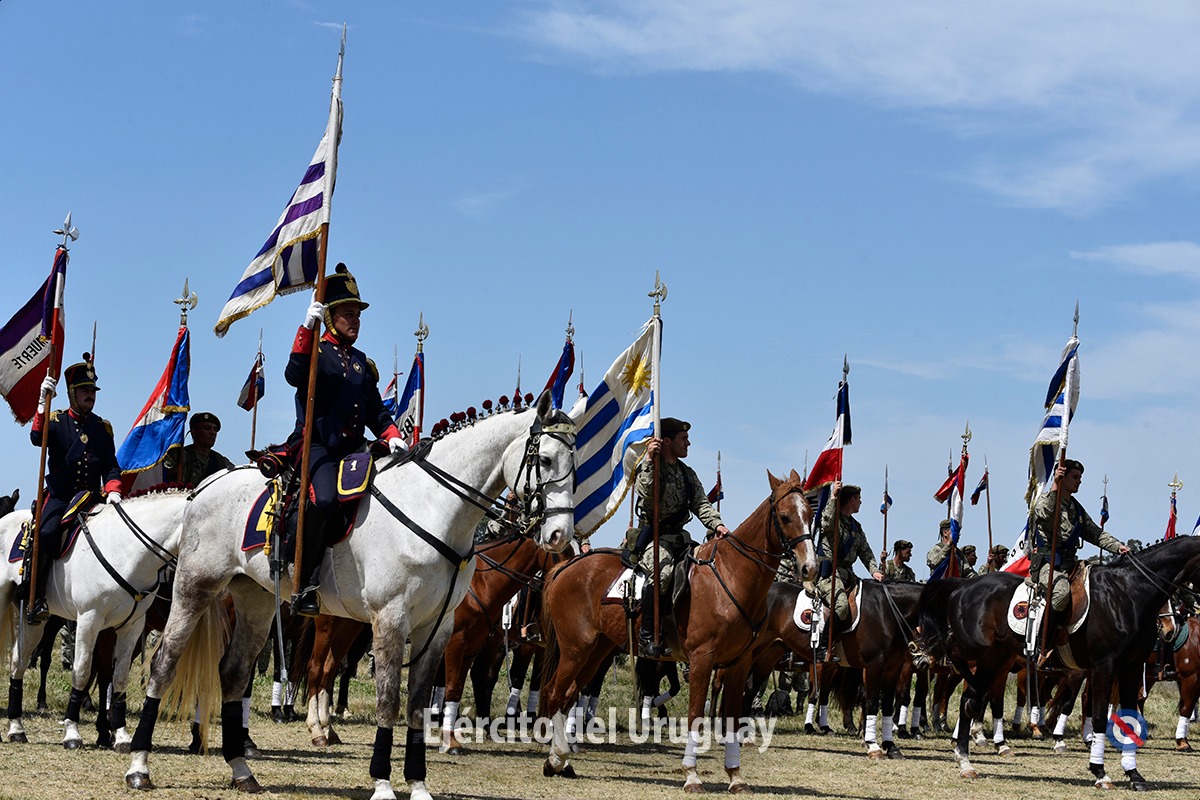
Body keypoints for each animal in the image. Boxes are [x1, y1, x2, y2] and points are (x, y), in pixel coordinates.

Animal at [0, 489, 186, 753]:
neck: (126, 550)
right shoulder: (90, 619)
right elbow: (81, 671)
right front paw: (72, 732)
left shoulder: (132, 626)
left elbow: (118, 677)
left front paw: (121, 735)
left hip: (34, 620)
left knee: (19, 661)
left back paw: (16, 728)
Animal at [124, 393, 573, 800]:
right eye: (546, 461)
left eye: (575, 460)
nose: (559, 535)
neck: (432, 508)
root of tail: (206, 486)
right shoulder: (392, 619)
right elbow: (389, 701)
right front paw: (382, 784)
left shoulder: (437, 627)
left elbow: (417, 706)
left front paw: (419, 785)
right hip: (195, 588)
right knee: (163, 665)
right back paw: (139, 766)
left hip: (256, 602)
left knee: (233, 674)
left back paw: (241, 770)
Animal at [542, 472, 816, 791]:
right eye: (785, 517)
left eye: (810, 515)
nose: (810, 567)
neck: (731, 576)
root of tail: (567, 566)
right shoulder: (701, 659)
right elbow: (696, 715)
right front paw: (692, 774)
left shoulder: (739, 663)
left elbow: (733, 719)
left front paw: (735, 775)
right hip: (575, 650)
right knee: (554, 693)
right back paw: (558, 756)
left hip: (595, 654)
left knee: (568, 695)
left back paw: (560, 761)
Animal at [921, 534, 1200, 791]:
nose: (1170, 630)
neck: (1127, 595)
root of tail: (962, 586)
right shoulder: (1103, 667)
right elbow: (1098, 715)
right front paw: (1100, 772)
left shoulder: (1130, 668)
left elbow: (1129, 715)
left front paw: (1134, 774)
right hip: (977, 649)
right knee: (955, 661)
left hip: (996, 659)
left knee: (970, 698)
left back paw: (965, 761)